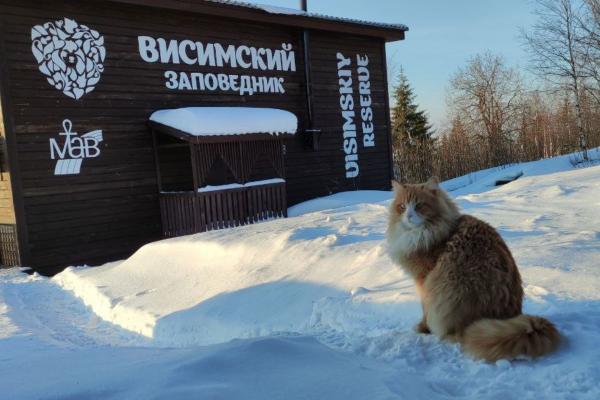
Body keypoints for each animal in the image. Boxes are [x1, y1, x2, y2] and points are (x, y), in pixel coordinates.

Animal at [386, 177, 560, 360]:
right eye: (402, 207)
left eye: (419, 205)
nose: (408, 216)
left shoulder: (424, 279)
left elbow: (425, 310)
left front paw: (423, 328)